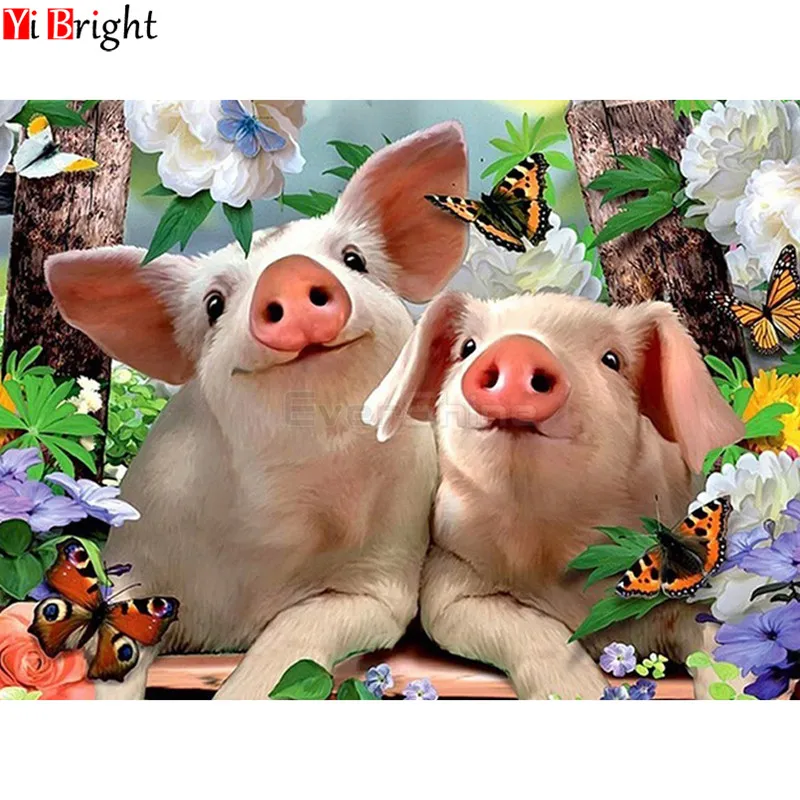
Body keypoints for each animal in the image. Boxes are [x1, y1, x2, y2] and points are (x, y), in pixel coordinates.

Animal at [44, 122, 469, 699]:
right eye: (214, 304)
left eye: (354, 259)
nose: (289, 273)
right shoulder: (137, 549)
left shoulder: (386, 573)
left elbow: (297, 629)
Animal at [363, 291, 745, 699]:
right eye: (468, 347)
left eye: (612, 359)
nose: (518, 346)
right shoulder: (447, 577)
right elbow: (520, 622)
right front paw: (581, 693)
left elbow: (716, 630)